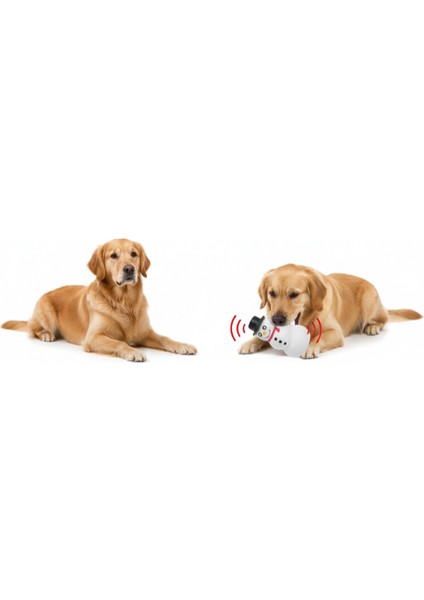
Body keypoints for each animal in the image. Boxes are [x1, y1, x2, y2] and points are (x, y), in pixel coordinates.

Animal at [2, 239, 197, 362]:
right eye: (113, 255)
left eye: (134, 254)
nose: (130, 269)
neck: (124, 302)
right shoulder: (94, 337)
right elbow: (118, 342)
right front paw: (132, 351)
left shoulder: (145, 332)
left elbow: (165, 338)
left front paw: (182, 345)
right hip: (46, 311)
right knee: (32, 328)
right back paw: (46, 335)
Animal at [239, 264, 422, 359]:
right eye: (272, 293)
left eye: (294, 294)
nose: (277, 320)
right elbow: (260, 336)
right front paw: (250, 343)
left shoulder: (335, 332)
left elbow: (319, 338)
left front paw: (309, 347)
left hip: (369, 300)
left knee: (383, 320)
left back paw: (373, 327)